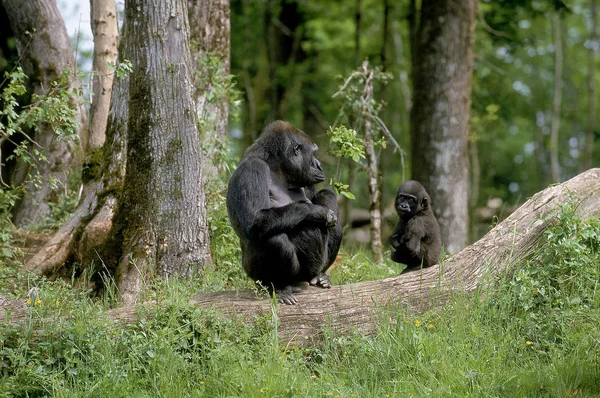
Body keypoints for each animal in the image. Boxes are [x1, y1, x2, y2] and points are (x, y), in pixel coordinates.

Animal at [226, 119, 342, 304]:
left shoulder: (305, 179)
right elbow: (256, 219)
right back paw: (277, 286)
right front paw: (317, 212)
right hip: (255, 277)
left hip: (308, 274)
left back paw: (320, 275)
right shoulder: (253, 168)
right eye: (314, 154)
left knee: (335, 228)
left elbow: (323, 195)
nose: (319, 165)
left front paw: (327, 205)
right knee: (274, 240)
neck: (278, 169)